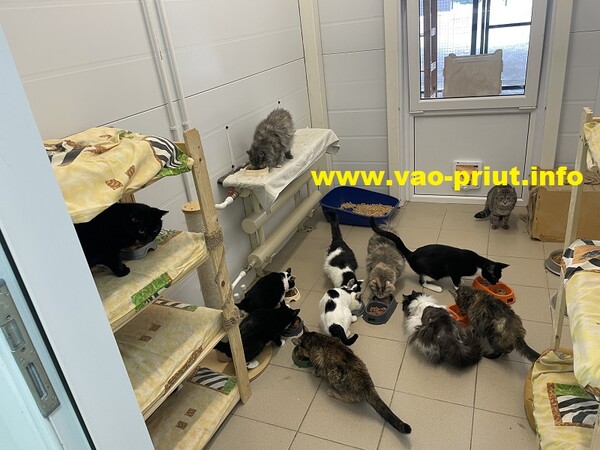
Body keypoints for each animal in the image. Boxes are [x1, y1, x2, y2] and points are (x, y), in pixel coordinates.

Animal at [370, 217, 508, 293]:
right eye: (494, 277)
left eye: (499, 278)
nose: (496, 283)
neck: (477, 263)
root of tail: (412, 254)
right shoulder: (454, 271)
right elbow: (456, 283)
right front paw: (459, 288)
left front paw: (463, 282)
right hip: (435, 272)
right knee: (422, 281)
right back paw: (436, 288)